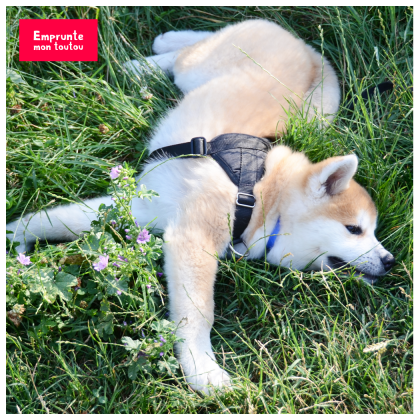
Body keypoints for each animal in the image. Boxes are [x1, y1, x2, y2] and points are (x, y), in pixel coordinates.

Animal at [6, 19, 394, 394]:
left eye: (372, 232)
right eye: (354, 229)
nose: (390, 261)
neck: (261, 193)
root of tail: (310, 52)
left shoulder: (140, 211)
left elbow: (56, 219)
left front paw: (16, 236)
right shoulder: (193, 238)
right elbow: (199, 313)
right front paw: (202, 369)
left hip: (306, 112)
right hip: (200, 70)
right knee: (186, 55)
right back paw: (145, 61)